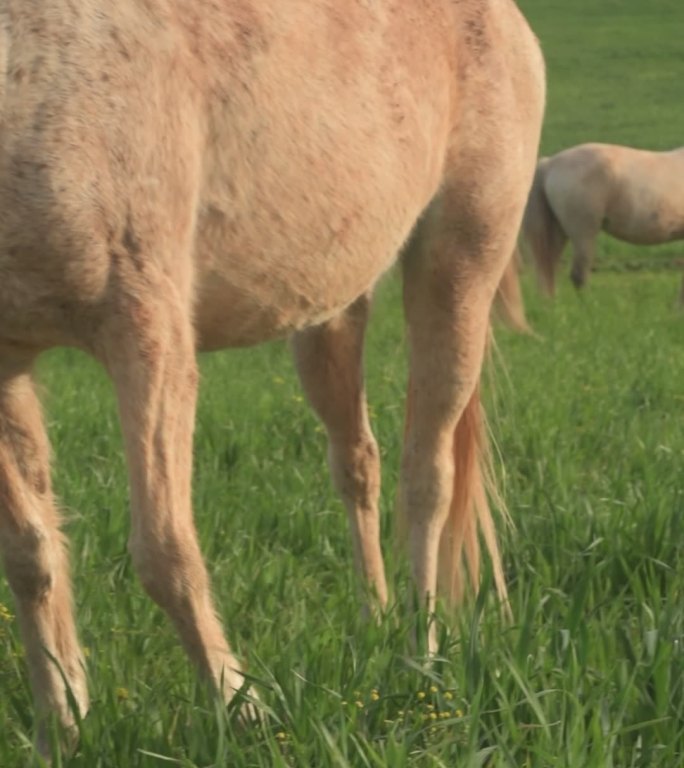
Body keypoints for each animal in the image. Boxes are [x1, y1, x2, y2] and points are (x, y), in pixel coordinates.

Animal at [0, 0, 544, 752]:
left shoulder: (148, 333)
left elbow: (164, 549)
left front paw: (242, 709)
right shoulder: (9, 362)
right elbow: (31, 553)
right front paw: (62, 729)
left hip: (460, 262)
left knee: (428, 477)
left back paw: (421, 658)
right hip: (331, 309)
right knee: (358, 461)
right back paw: (374, 623)